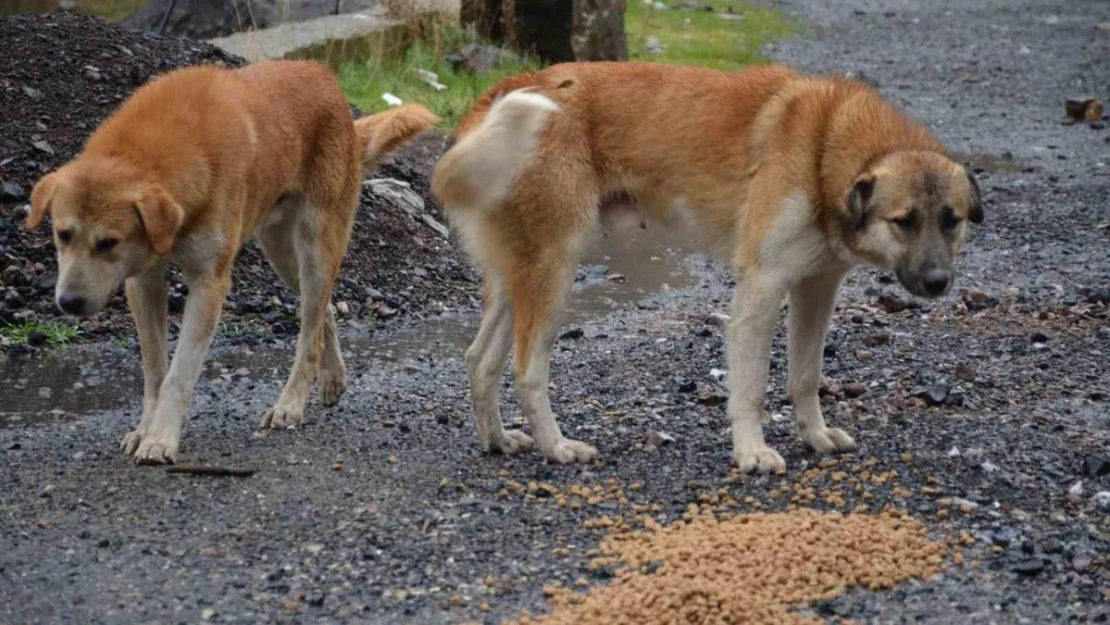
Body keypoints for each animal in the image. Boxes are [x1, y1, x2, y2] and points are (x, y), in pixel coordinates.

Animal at [26, 59, 437, 464]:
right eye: (63, 234)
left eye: (108, 242)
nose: (68, 303)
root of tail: (328, 82)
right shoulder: (143, 281)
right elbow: (155, 371)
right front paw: (145, 429)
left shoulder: (209, 283)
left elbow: (179, 373)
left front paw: (160, 439)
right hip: (282, 254)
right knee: (324, 313)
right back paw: (332, 377)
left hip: (316, 247)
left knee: (309, 336)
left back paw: (290, 404)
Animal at [428, 62, 985, 475]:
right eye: (903, 221)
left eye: (951, 220)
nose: (938, 283)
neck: (824, 145)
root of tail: (500, 91)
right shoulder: (762, 287)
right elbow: (752, 387)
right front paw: (751, 453)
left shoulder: (816, 288)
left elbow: (805, 376)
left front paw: (815, 435)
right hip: (553, 275)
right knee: (526, 370)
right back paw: (557, 447)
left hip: (518, 278)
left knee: (480, 360)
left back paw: (498, 440)